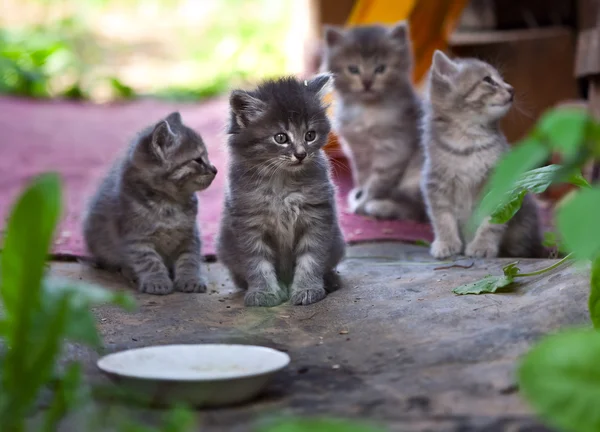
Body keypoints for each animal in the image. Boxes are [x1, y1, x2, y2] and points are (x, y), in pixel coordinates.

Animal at [83, 111, 217, 294]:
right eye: (198, 160)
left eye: (207, 157)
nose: (215, 169)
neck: (169, 204)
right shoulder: (137, 239)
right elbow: (150, 262)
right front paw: (157, 281)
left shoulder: (190, 235)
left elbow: (190, 258)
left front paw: (191, 279)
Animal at [218, 74, 344, 308]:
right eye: (281, 138)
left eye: (310, 135)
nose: (301, 154)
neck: (282, 182)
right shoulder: (247, 223)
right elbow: (257, 263)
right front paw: (263, 292)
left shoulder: (317, 215)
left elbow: (311, 258)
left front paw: (307, 289)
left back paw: (330, 280)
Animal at [324, 20, 426, 221]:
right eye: (353, 69)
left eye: (381, 69)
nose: (367, 82)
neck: (367, 110)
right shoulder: (358, 152)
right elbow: (363, 178)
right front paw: (360, 196)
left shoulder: (393, 151)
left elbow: (377, 184)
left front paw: (363, 204)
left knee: (418, 211)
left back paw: (380, 207)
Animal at [420, 52, 540, 258]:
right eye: (488, 80)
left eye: (501, 79)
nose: (512, 89)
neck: (468, 143)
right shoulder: (436, 182)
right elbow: (442, 218)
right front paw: (446, 242)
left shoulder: (499, 184)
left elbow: (492, 220)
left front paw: (482, 245)